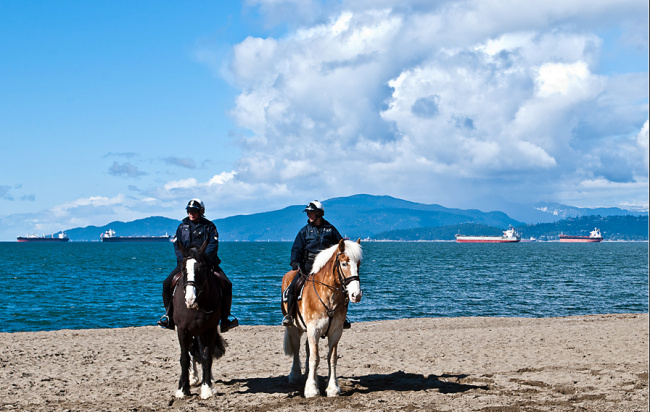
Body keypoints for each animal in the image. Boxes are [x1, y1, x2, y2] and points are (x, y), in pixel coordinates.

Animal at [172, 241, 225, 400]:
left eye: (201, 268)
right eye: (183, 268)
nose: (190, 300)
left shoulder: (209, 329)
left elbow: (206, 356)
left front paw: (207, 388)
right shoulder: (182, 330)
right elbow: (184, 358)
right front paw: (183, 389)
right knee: (190, 351)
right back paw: (192, 378)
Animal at [280, 240, 362, 398]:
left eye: (359, 264)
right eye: (344, 263)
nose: (356, 294)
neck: (329, 295)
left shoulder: (336, 331)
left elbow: (332, 358)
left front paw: (332, 387)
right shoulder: (314, 330)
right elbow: (315, 358)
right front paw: (311, 389)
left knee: (307, 348)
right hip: (294, 327)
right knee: (297, 348)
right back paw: (295, 375)